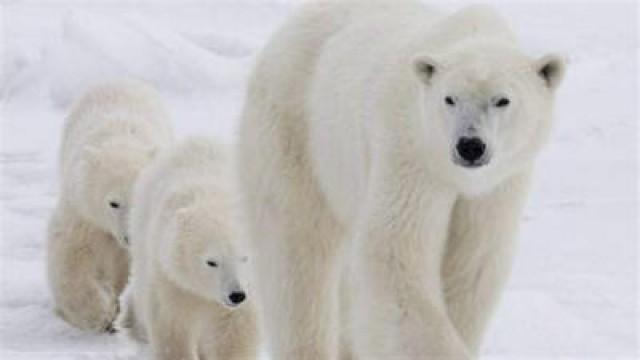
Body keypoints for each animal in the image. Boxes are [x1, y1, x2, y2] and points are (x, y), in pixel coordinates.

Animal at [47, 81, 175, 332]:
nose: (129, 238)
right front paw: (100, 313)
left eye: (140, 198)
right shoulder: (82, 208)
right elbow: (71, 252)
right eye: (113, 203)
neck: (120, 140)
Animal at [119, 138, 258, 360]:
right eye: (211, 262)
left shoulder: (250, 289)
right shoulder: (173, 278)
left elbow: (234, 334)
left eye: (244, 258)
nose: (236, 295)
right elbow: (173, 325)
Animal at [236, 1, 564, 358]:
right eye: (449, 99)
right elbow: (394, 256)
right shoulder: (410, 152)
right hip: (297, 129)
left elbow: (474, 264)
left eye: (502, 100)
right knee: (297, 254)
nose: (470, 146)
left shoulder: (498, 185)